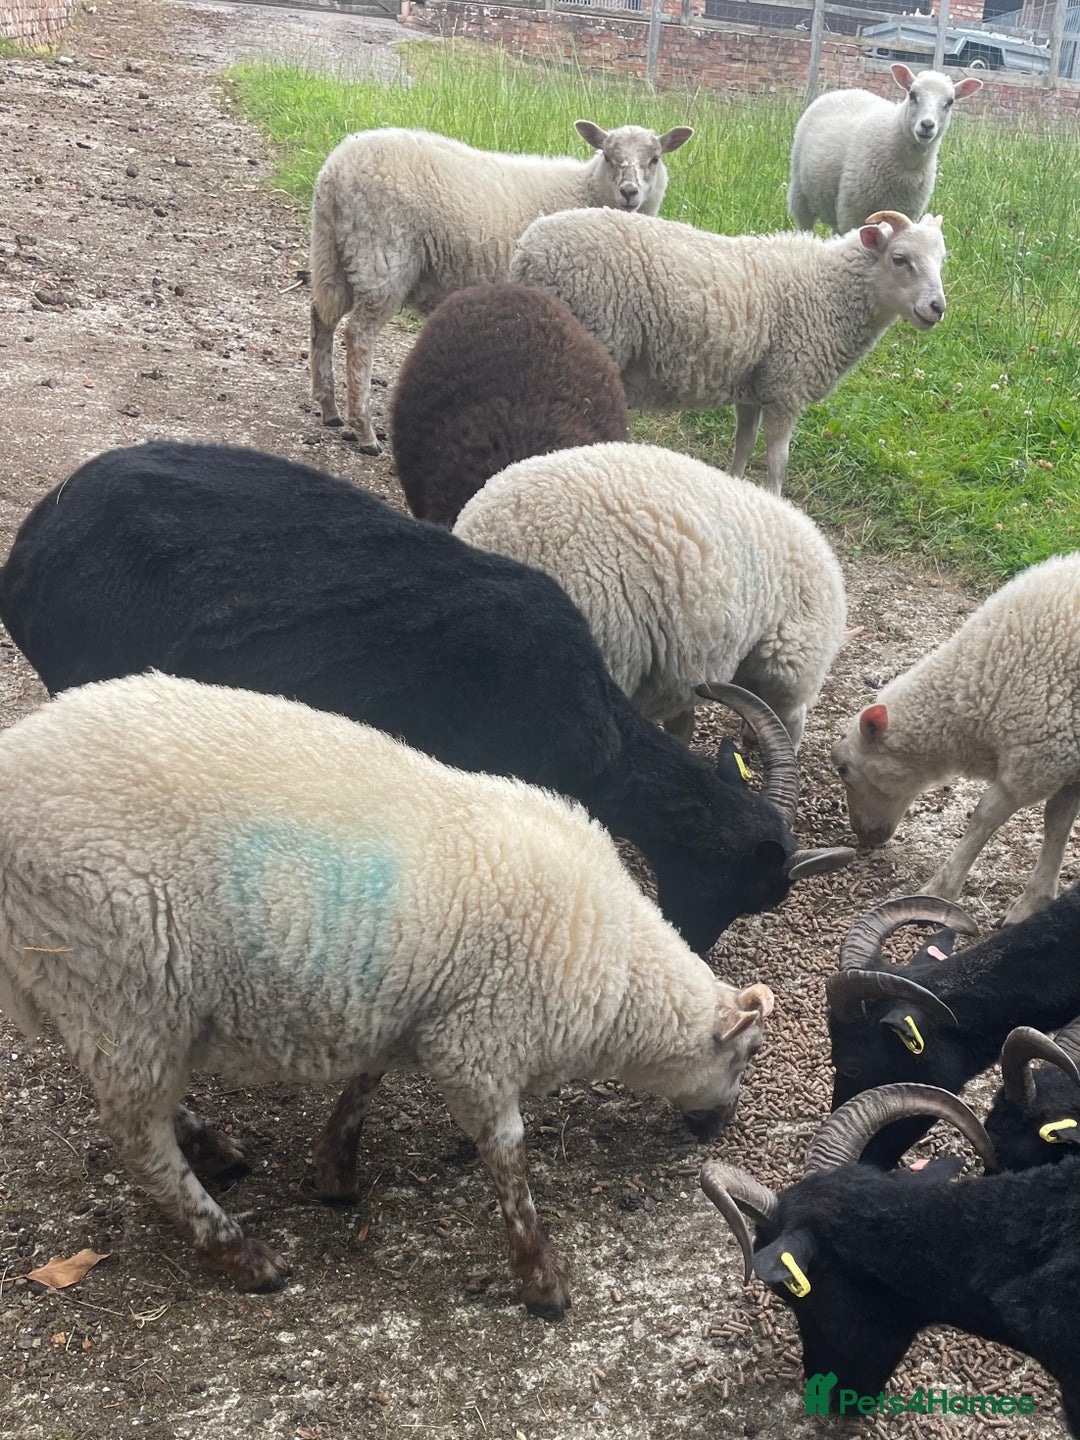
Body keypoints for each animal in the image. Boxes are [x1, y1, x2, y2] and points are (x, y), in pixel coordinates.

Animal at [0, 670, 776, 1309]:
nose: (718, 1128)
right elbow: (509, 1158)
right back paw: (240, 1253)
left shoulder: (412, 1006)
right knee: (136, 1138)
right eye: (745, 1057)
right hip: (121, 972)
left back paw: (211, 1148)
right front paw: (541, 1279)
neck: (615, 970)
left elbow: (368, 1080)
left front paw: (335, 1169)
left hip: (102, 986)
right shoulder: (480, 1040)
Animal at [309, 120, 693, 453]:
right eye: (609, 156)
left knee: (321, 316)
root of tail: (334, 170)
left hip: (335, 255)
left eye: (655, 158)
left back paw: (329, 407)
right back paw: (364, 429)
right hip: (381, 255)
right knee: (359, 335)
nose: (630, 192)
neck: (585, 190)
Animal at [509, 207, 946, 495]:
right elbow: (778, 462)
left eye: (942, 260)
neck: (828, 291)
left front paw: (734, 485)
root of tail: (527, 252)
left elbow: (744, 444)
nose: (937, 308)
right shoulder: (786, 387)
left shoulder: (753, 386)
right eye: (900, 259)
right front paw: (775, 501)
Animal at [788, 64, 983, 235]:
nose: (927, 125)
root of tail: (841, 91)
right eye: (912, 94)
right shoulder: (852, 213)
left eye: (950, 102)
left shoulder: (907, 213)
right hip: (801, 193)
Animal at [832, 550, 1080, 923]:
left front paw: (941, 888)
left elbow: (984, 816)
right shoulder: (1067, 761)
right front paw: (1034, 900)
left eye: (843, 769)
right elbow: (1057, 822)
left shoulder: (1039, 756)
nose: (863, 838)